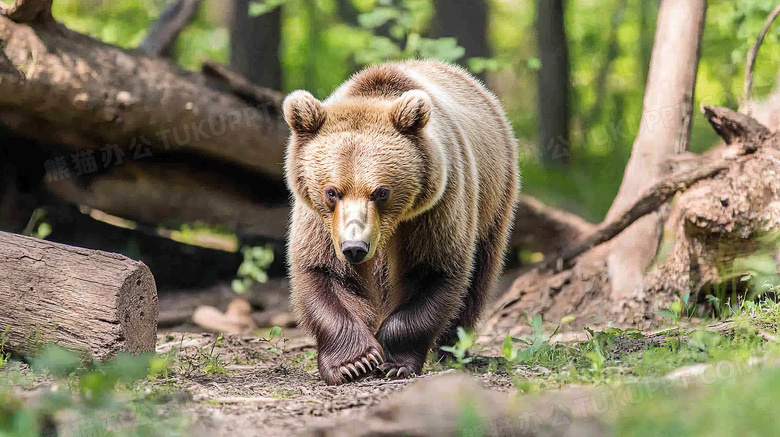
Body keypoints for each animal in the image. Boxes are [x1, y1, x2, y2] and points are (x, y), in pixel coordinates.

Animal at [280, 59, 516, 384]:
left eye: (381, 191)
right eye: (332, 191)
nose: (355, 247)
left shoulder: (435, 207)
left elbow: (431, 269)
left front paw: (394, 361)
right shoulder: (320, 221)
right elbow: (325, 271)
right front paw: (354, 361)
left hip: (494, 197)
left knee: (479, 274)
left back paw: (453, 350)